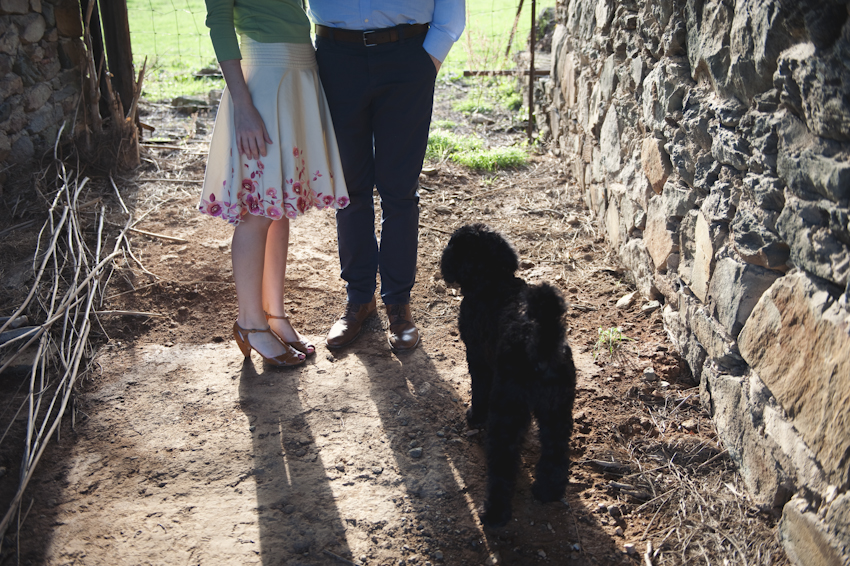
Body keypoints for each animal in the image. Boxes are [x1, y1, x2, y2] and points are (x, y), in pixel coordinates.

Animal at [438, 224, 576, 532]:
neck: (493, 281)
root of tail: (540, 343)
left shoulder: (477, 358)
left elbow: (479, 390)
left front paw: (474, 416)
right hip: (557, 411)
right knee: (556, 453)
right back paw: (548, 491)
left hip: (508, 411)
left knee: (502, 466)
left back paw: (493, 514)